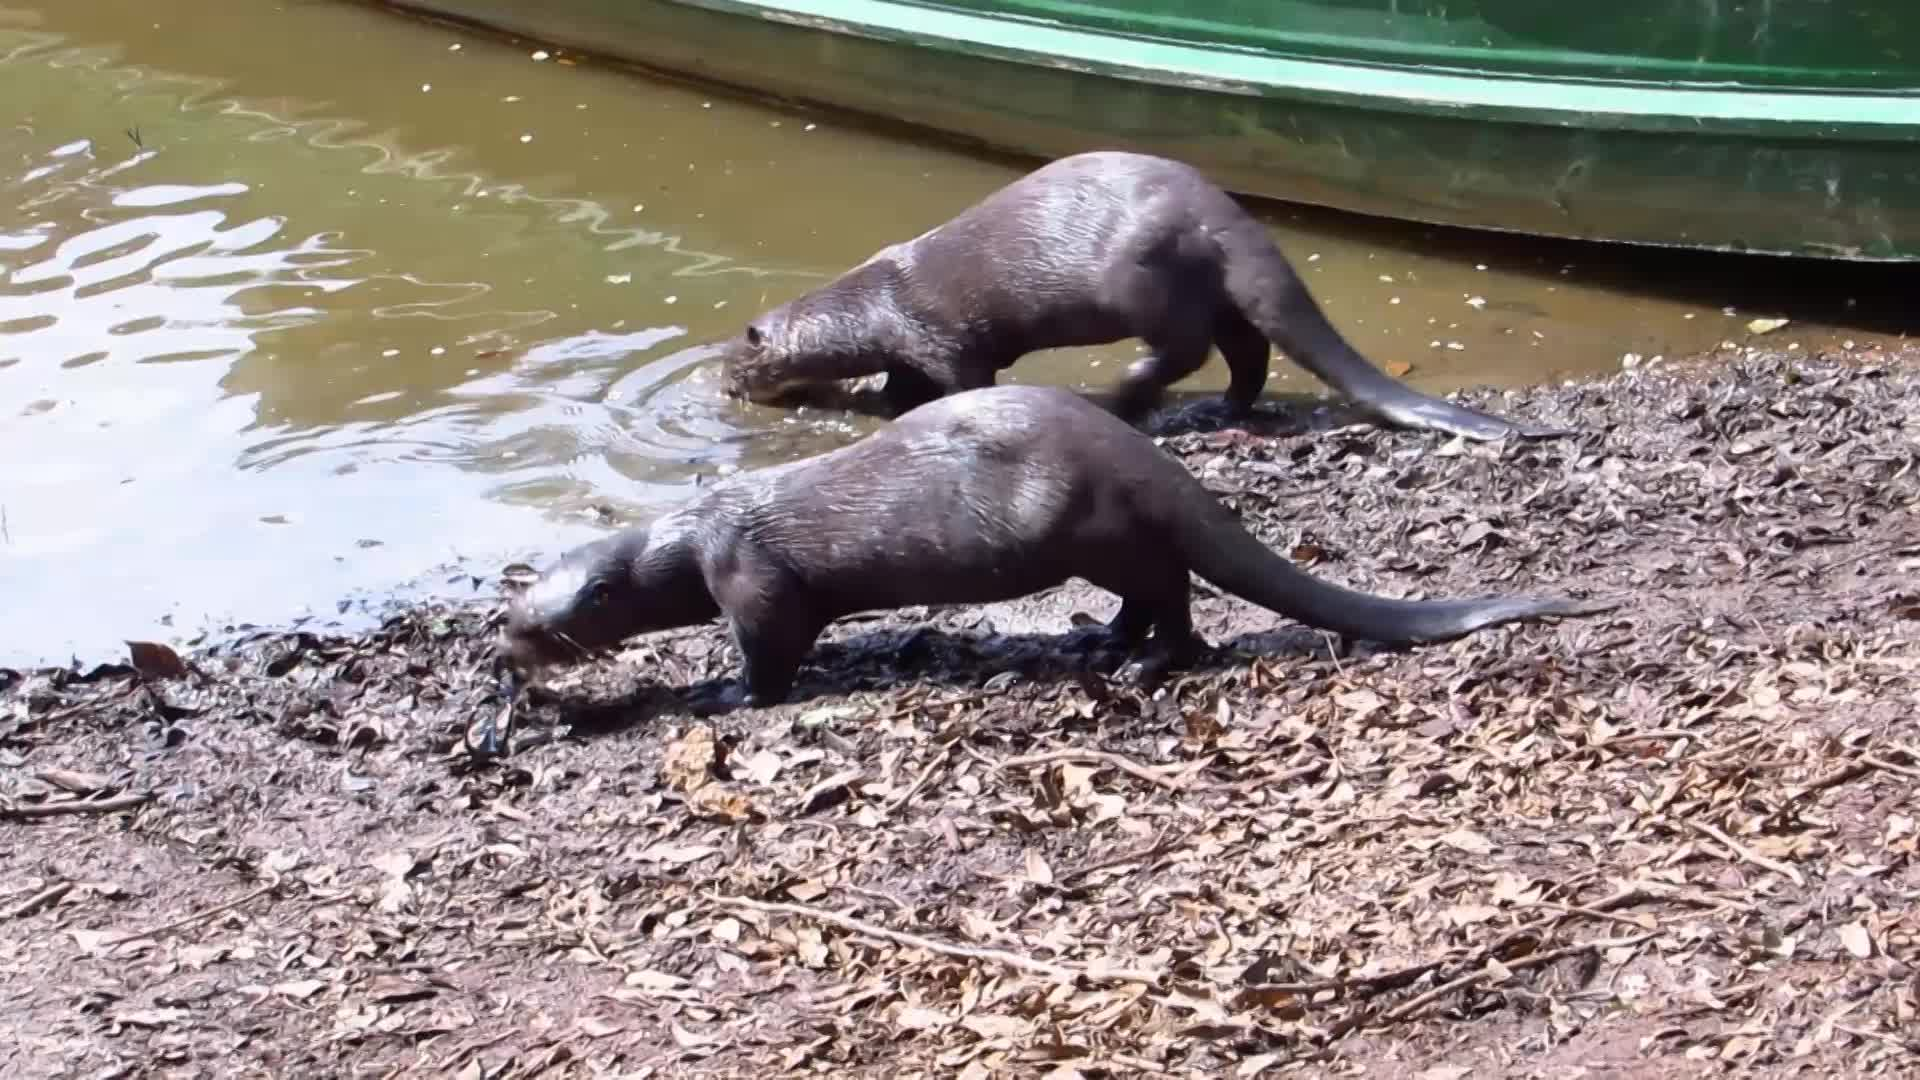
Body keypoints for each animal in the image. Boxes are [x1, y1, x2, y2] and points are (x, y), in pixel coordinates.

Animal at [502, 385, 1610, 704]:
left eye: (540, 622)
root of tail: (1146, 456)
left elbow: (771, 653)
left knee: (1175, 590)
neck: (689, 540)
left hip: (1087, 525)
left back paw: (1149, 660)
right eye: (512, 606)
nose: (504, 645)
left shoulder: (751, 578)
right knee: (1154, 590)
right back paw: (1103, 641)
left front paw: (726, 697)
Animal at [717, 151, 1560, 441]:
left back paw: (1129, 396)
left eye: (736, 360)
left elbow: (963, 379)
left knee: (1181, 349)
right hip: (1214, 291)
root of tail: (1222, 214)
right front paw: (882, 401)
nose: (723, 385)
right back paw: (1219, 409)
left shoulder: (942, 334)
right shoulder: (907, 344)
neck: (870, 304)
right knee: (1246, 352)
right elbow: (900, 382)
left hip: (1145, 276)